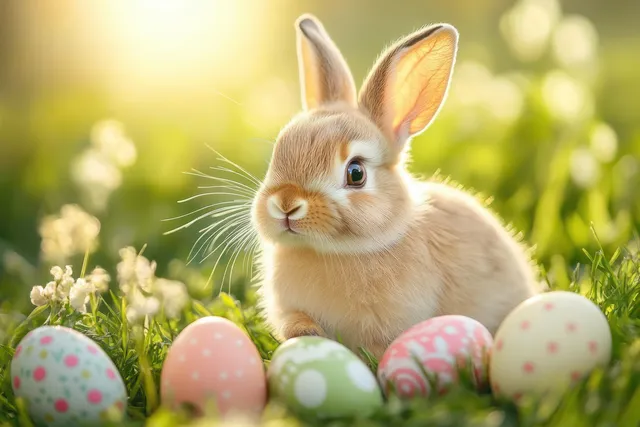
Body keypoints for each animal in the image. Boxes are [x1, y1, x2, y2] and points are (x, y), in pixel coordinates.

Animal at [250, 14, 540, 359]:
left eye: (356, 173)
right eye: (277, 151)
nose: (286, 203)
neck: (336, 251)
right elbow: (295, 322)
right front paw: (307, 335)